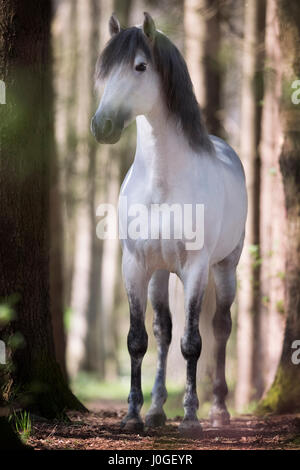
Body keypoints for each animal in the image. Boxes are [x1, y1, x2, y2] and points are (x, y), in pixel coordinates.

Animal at [91, 11, 246, 436]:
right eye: (103, 69)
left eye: (140, 66)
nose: (101, 126)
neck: (162, 183)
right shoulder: (134, 265)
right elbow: (138, 339)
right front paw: (132, 414)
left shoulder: (195, 268)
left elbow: (193, 342)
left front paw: (190, 418)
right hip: (160, 272)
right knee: (162, 331)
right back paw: (157, 409)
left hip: (225, 267)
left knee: (221, 326)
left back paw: (218, 411)